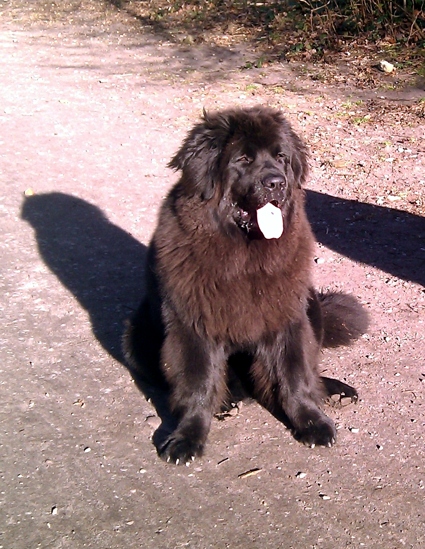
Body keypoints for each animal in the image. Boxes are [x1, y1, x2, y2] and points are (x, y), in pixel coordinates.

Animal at [123, 106, 368, 462]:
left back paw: (332, 390)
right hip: (136, 331)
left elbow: (296, 373)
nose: (277, 183)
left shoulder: (287, 317)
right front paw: (188, 435)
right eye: (243, 159)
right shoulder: (193, 324)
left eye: (280, 157)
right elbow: (198, 382)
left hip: (312, 305)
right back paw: (228, 401)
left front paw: (312, 421)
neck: (246, 254)